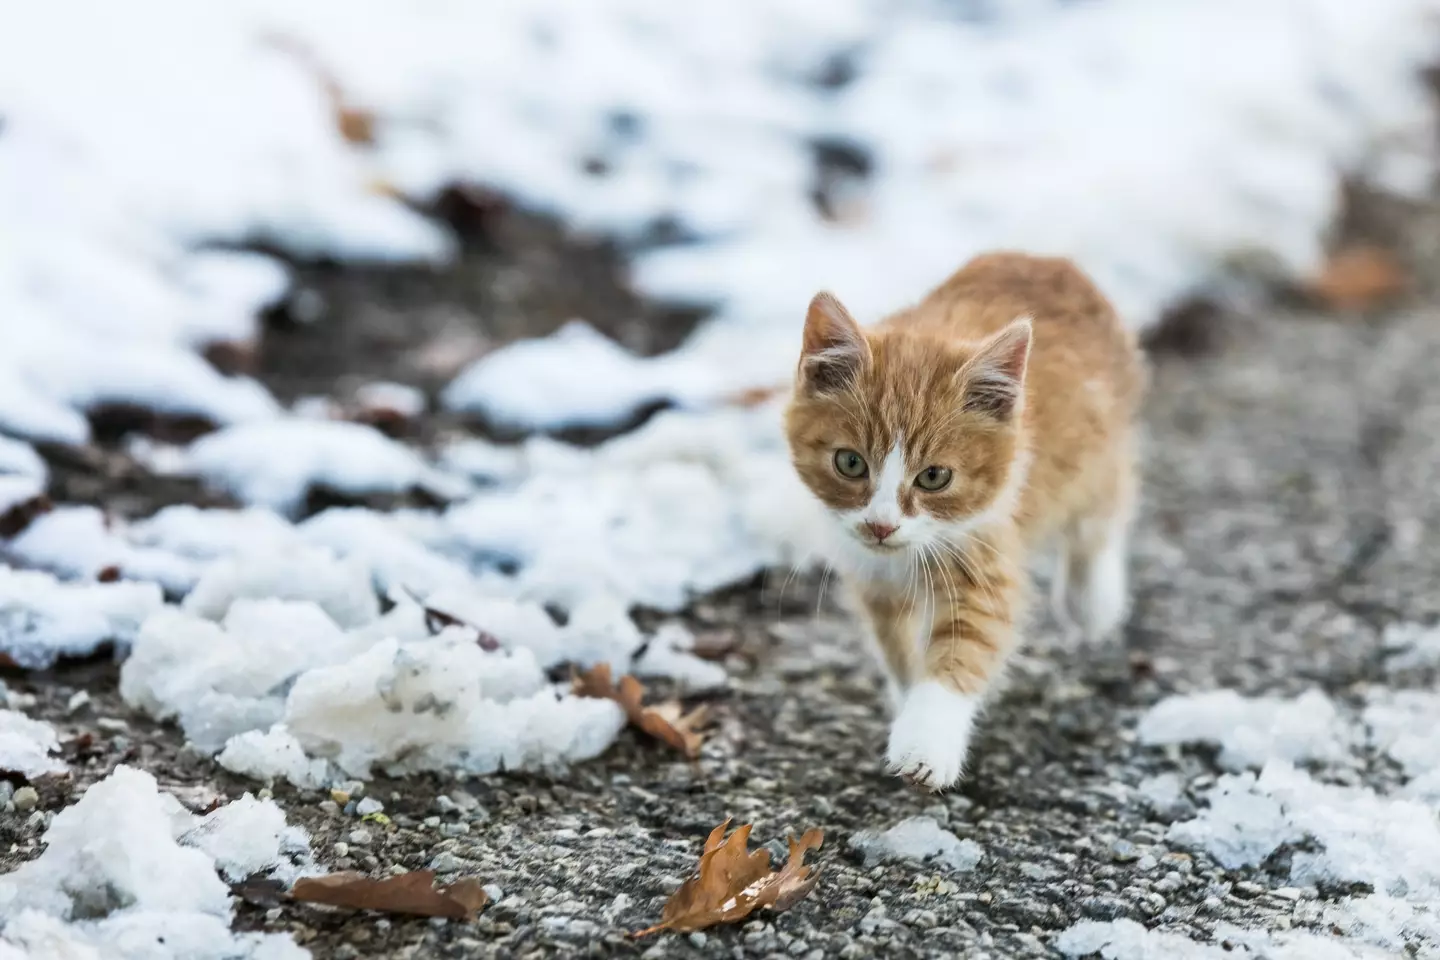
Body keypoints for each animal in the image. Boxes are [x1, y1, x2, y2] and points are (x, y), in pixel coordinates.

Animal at [783, 251, 1140, 794]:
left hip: (1099, 451)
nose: (881, 525)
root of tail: (1047, 259)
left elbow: (964, 648)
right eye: (850, 463)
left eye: (934, 476)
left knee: (1104, 510)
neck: (909, 553)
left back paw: (1091, 600)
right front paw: (906, 706)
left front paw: (924, 745)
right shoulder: (872, 577)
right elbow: (900, 653)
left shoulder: (986, 552)